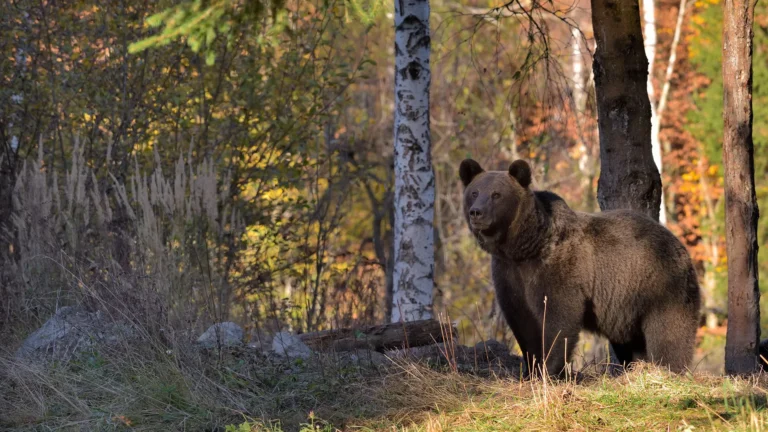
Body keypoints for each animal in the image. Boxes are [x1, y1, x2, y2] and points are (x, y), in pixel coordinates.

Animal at [459, 158, 701, 378]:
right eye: (474, 192)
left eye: (496, 194)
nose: (476, 212)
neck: (523, 247)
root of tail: (680, 245)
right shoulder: (509, 276)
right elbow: (522, 324)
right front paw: (531, 370)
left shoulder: (558, 272)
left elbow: (559, 321)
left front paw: (549, 370)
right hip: (626, 309)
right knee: (631, 343)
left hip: (659, 287)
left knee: (668, 334)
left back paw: (667, 370)